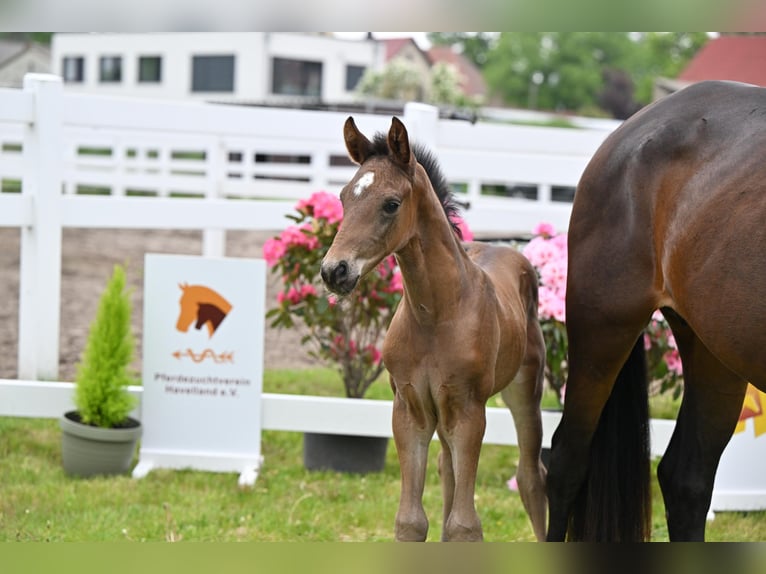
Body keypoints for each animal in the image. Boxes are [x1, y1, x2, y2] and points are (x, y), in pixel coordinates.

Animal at [320, 116, 547, 541]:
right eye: (343, 198)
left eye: (391, 204)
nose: (334, 271)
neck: (436, 315)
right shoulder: (410, 407)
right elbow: (411, 520)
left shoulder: (469, 408)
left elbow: (465, 525)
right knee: (448, 468)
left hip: (525, 390)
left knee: (530, 476)